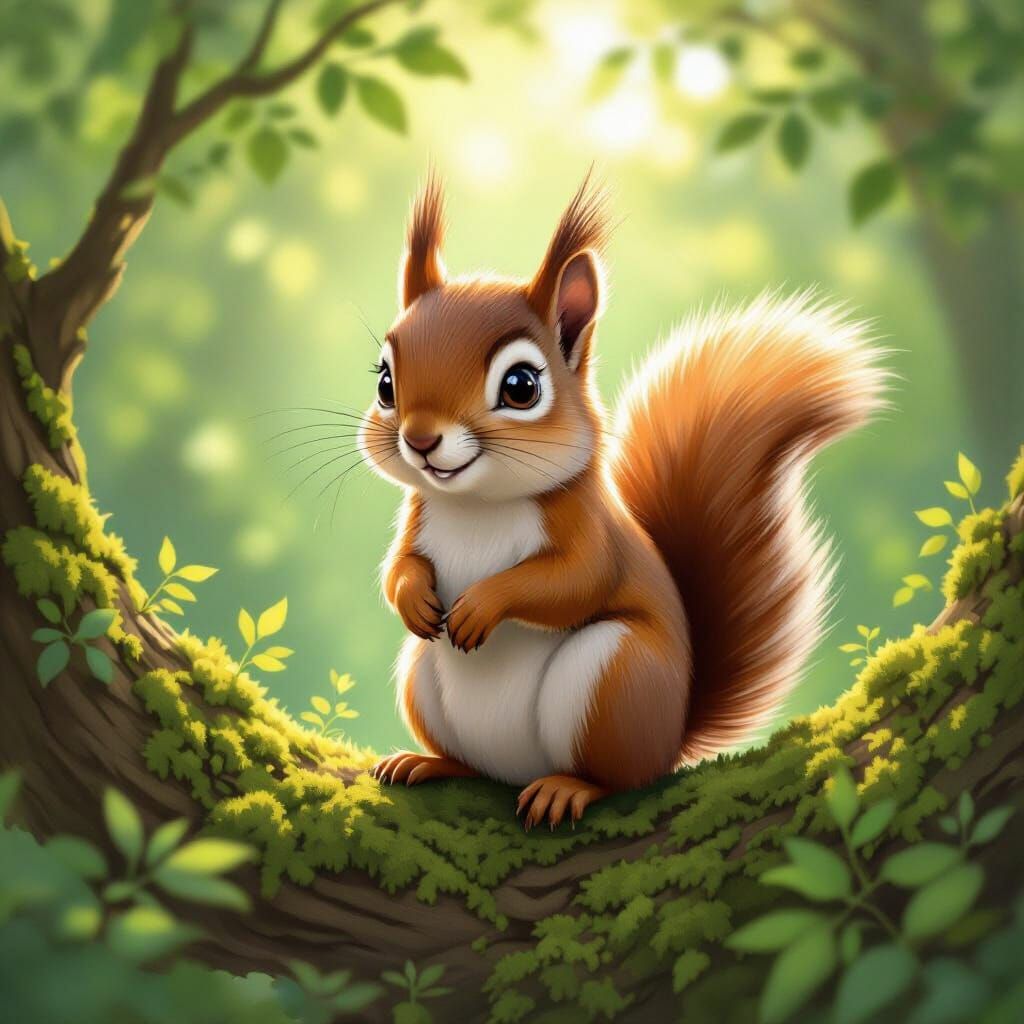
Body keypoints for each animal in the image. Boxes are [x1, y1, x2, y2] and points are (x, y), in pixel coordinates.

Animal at [363, 174, 886, 829]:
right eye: (385, 381)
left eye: (521, 386)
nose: (420, 439)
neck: (477, 506)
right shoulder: (417, 518)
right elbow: (395, 568)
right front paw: (414, 596)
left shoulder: (592, 532)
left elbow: (574, 580)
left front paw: (482, 604)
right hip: (421, 674)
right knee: (470, 761)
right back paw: (427, 763)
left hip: (613, 676)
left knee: (620, 778)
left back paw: (568, 789)